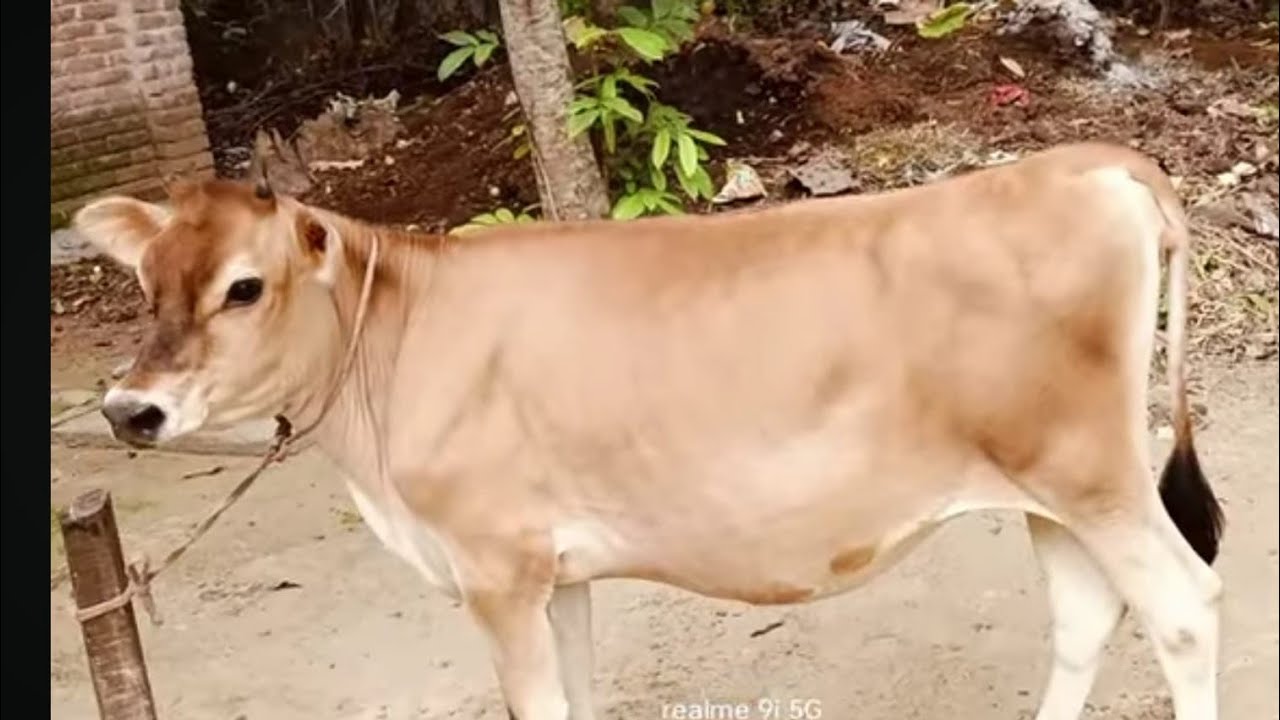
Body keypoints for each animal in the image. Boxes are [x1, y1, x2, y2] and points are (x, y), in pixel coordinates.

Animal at [76, 142, 1224, 720]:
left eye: (244, 286)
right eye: (145, 280)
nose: (130, 410)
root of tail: (1086, 161)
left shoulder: (496, 570)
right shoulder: (557, 573)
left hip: (1093, 474)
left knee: (1181, 607)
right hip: (1047, 483)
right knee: (1086, 615)